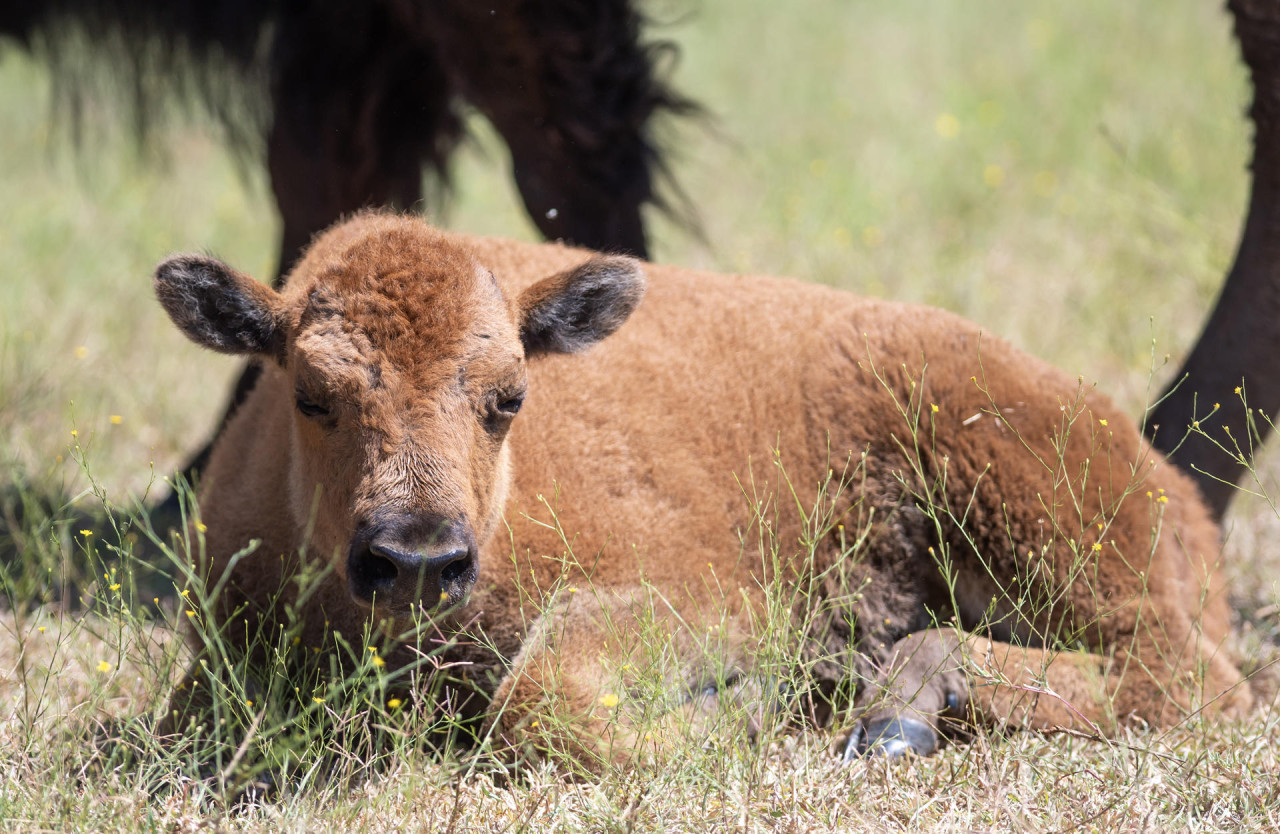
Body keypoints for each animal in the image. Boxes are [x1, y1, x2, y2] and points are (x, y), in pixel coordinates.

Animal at [154, 213, 1254, 767]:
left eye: (511, 398)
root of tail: (1166, 483)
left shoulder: (703, 605)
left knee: (1185, 674)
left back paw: (894, 707)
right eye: (312, 395)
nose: (417, 557)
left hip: (1026, 507)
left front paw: (743, 709)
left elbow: (542, 700)